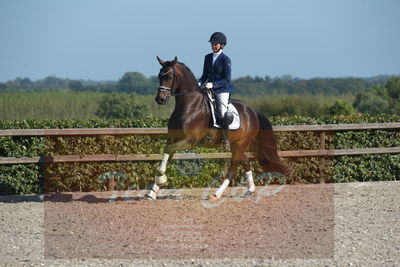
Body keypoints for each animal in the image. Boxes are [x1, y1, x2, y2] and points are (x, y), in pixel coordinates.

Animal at [145, 57, 290, 201]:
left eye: (169, 76)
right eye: (159, 76)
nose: (160, 99)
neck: (188, 106)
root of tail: (252, 111)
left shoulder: (190, 141)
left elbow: (168, 151)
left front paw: (161, 178)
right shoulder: (173, 138)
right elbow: (166, 154)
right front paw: (152, 192)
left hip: (240, 144)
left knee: (232, 170)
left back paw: (216, 194)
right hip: (236, 145)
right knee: (245, 163)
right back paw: (250, 190)